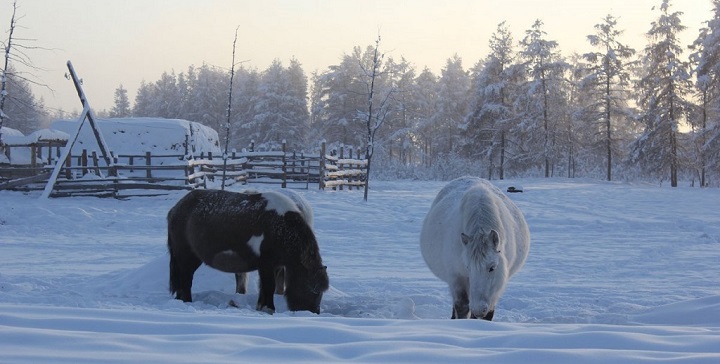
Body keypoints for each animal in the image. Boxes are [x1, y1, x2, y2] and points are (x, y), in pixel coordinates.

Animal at [167, 188, 328, 312]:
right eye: (314, 290)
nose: (314, 312)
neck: (280, 226)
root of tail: (176, 208)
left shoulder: (274, 265)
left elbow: (265, 288)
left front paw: (261, 307)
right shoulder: (266, 265)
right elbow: (269, 286)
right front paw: (269, 308)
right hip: (186, 257)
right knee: (185, 279)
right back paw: (187, 301)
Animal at [422, 178, 528, 320]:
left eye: (492, 268)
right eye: (468, 267)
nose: (478, 309)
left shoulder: (496, 286)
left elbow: (488, 313)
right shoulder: (456, 277)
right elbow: (461, 307)